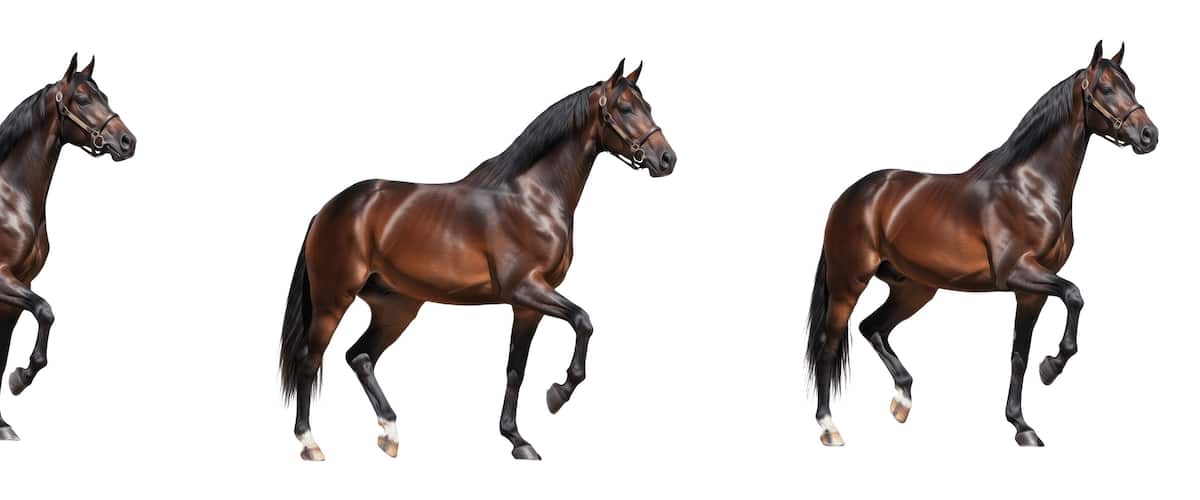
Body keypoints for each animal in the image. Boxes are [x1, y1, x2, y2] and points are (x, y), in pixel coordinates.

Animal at [0, 54, 137, 441]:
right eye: (82, 99)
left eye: (104, 95)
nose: (127, 141)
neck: (11, 200)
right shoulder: (5, 281)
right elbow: (46, 311)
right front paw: (21, 378)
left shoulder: (17, 291)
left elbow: (2, 353)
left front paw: (2, 424)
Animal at [278, 60, 676, 461]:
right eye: (625, 108)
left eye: (648, 106)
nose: (667, 159)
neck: (533, 198)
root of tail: (329, 209)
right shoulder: (526, 289)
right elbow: (583, 321)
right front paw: (557, 394)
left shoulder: (527, 306)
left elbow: (516, 370)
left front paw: (518, 440)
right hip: (333, 301)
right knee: (310, 361)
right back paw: (310, 443)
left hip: (396, 306)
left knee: (359, 357)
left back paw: (389, 433)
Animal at [805, 41, 1157, 447]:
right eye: (1105, 88)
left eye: (1132, 86)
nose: (1149, 135)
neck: (1031, 187)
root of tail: (850, 196)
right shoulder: (1018, 273)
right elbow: (1074, 295)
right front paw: (1051, 368)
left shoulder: (1031, 291)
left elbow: (1019, 355)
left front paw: (1022, 426)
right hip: (848, 284)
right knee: (829, 345)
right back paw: (829, 427)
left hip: (914, 289)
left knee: (872, 328)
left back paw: (903, 398)